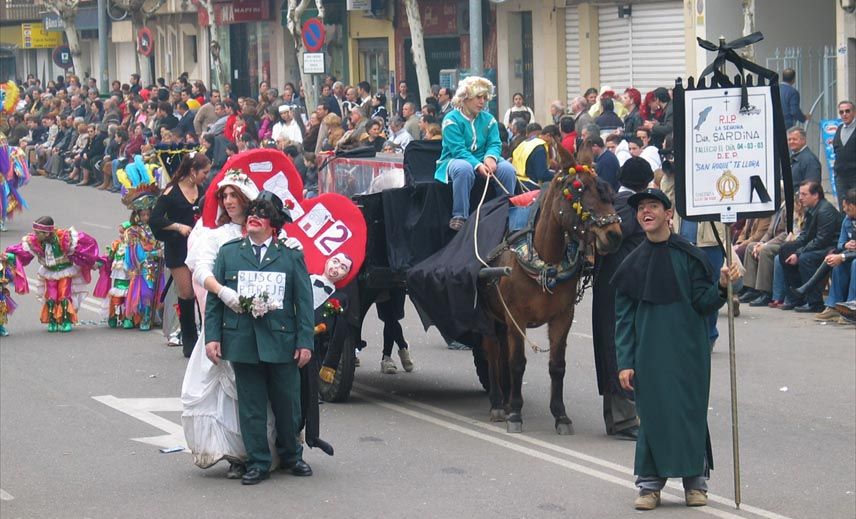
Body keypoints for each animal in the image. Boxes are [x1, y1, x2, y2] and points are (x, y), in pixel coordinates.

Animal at [478, 147, 620, 434]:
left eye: (605, 189)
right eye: (577, 190)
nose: (614, 234)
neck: (544, 262)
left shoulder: (562, 317)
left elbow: (557, 366)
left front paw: (560, 415)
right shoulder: (516, 317)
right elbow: (517, 364)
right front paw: (515, 414)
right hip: (489, 315)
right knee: (492, 352)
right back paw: (499, 403)